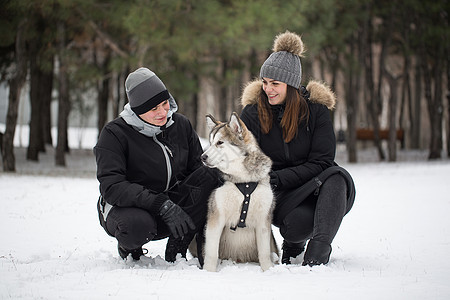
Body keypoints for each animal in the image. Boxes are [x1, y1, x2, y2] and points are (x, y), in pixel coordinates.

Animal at [200, 112, 278, 272]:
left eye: (220, 143)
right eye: (210, 143)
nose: (202, 157)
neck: (243, 181)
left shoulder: (263, 220)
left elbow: (264, 252)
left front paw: (268, 270)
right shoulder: (216, 216)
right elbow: (211, 252)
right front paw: (209, 272)